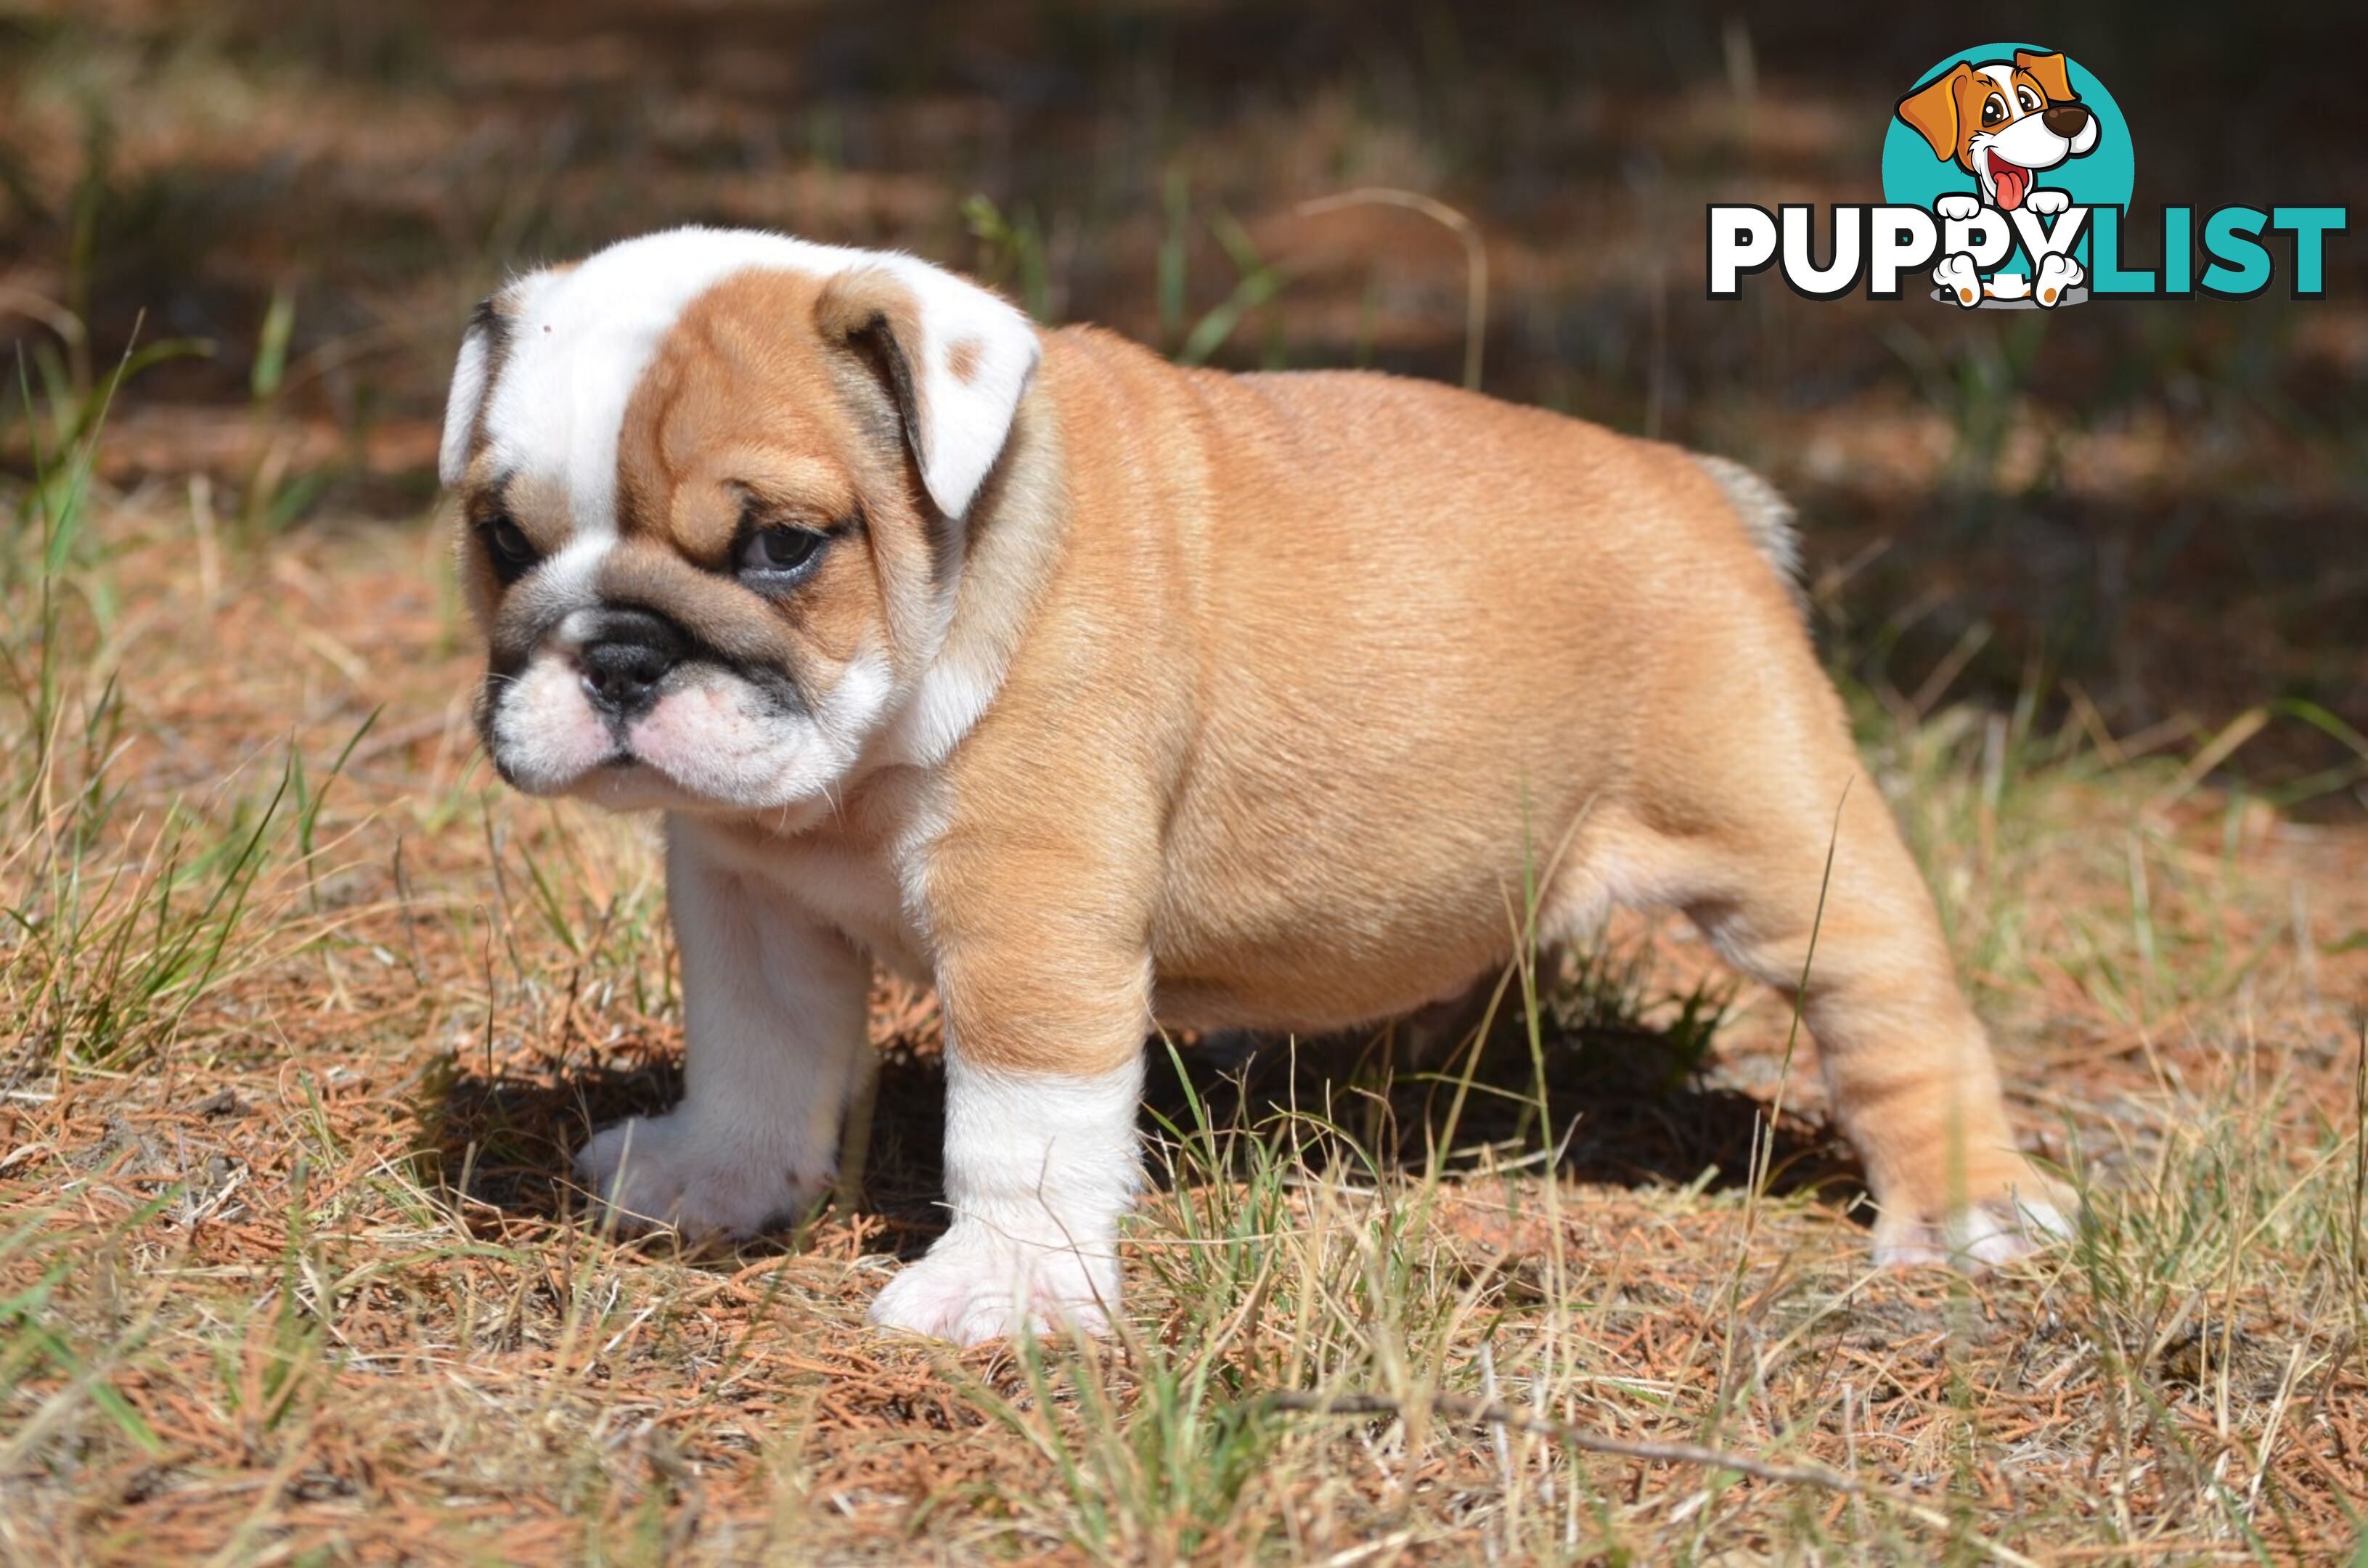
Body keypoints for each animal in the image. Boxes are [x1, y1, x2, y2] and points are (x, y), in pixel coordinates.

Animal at [445, 224, 2074, 1355]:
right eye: (503, 541)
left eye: (783, 545)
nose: (617, 654)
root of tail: (1694, 486)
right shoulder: (750, 898)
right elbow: (757, 1058)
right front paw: (715, 1184)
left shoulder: (1030, 918)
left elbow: (1019, 1121)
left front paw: (1003, 1294)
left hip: (1784, 843)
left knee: (1893, 1011)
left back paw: (1969, 1213)